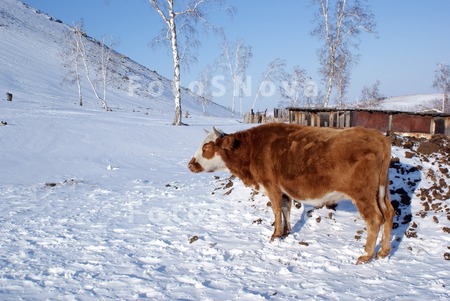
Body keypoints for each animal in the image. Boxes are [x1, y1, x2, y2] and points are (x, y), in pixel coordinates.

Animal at [187, 122, 394, 262]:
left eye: (206, 147)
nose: (190, 164)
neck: (252, 150)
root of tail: (380, 138)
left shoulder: (272, 186)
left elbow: (277, 210)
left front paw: (275, 235)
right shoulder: (283, 190)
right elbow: (286, 208)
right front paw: (286, 232)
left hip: (363, 194)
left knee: (375, 219)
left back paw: (366, 255)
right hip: (381, 192)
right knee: (389, 214)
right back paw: (383, 252)